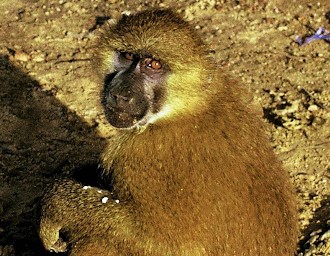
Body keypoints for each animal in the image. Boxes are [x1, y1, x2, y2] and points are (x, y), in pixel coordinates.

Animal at [39, 9, 300, 255]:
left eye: (153, 65)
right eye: (127, 56)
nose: (120, 94)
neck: (184, 105)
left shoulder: (143, 155)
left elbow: (161, 242)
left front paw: (55, 207)